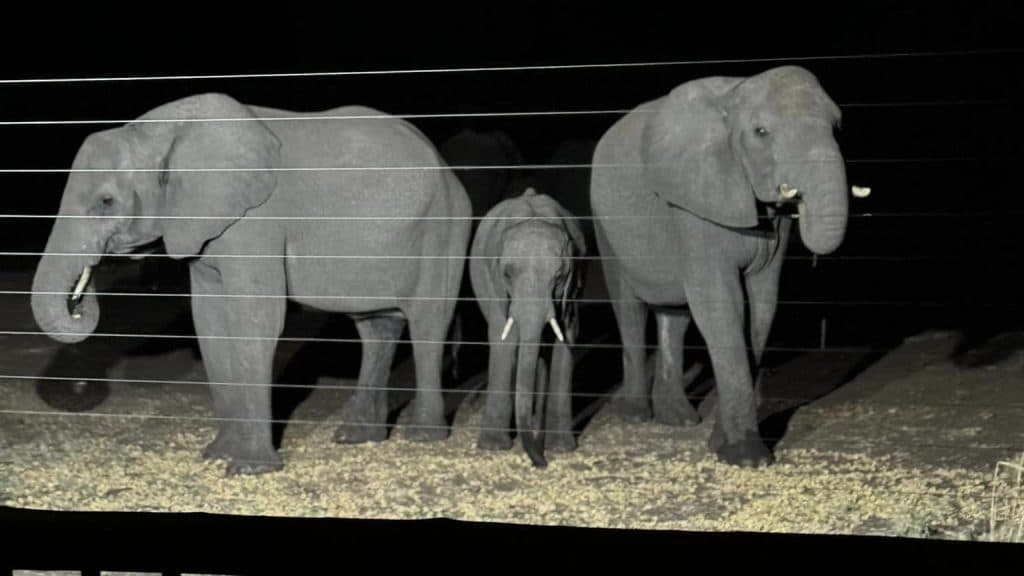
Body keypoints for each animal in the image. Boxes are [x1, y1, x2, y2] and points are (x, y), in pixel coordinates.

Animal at [30, 92, 472, 475]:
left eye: (106, 202)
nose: (79, 302)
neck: (160, 131)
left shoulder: (257, 220)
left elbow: (255, 319)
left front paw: (248, 468)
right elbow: (209, 320)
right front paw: (215, 455)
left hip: (444, 229)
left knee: (428, 324)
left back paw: (423, 438)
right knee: (376, 328)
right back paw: (356, 436)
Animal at [469, 187, 586, 468]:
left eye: (559, 276)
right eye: (507, 274)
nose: (540, 462)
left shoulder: (572, 290)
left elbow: (566, 338)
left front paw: (561, 448)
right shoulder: (494, 284)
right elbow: (505, 336)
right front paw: (493, 447)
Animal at [590, 65, 866, 467]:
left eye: (837, 126)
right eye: (761, 132)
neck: (734, 95)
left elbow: (761, 304)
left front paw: (718, 443)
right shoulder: (693, 199)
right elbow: (723, 303)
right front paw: (747, 458)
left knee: (674, 314)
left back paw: (678, 420)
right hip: (603, 221)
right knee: (629, 309)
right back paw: (636, 417)